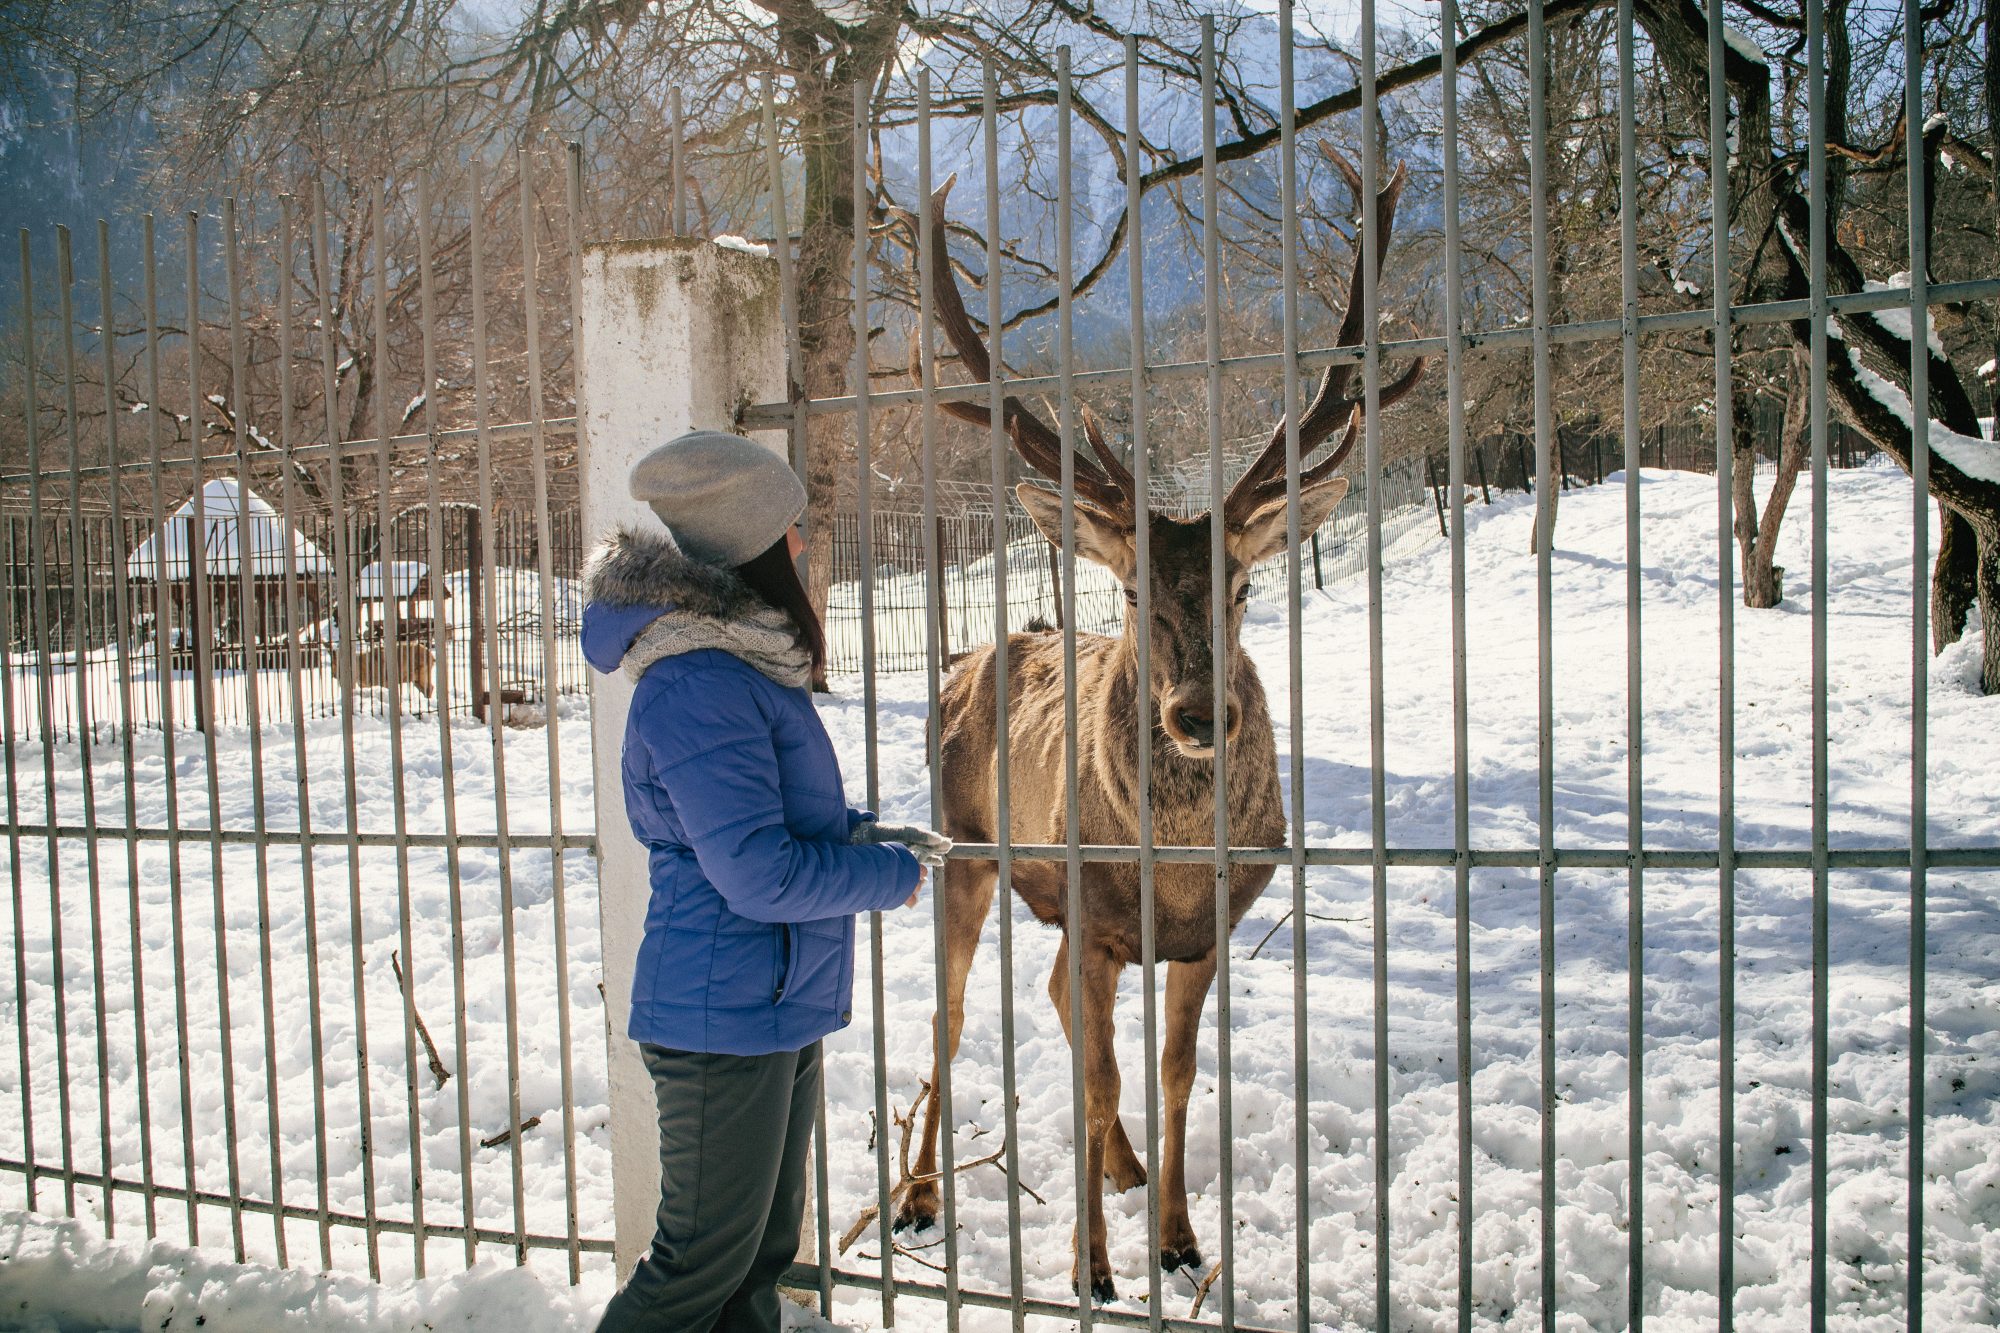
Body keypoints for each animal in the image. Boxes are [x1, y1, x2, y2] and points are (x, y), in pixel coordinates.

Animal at [900, 148, 1432, 1296]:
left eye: (1240, 583)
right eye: (1136, 589)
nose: (1198, 713)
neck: (1176, 869)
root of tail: (962, 661)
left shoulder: (1205, 935)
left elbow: (1177, 1073)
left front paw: (1182, 1238)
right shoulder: (1099, 916)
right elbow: (1099, 1075)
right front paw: (1092, 1269)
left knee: (1053, 996)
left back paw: (1125, 1169)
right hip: (962, 845)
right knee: (951, 1015)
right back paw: (918, 1196)